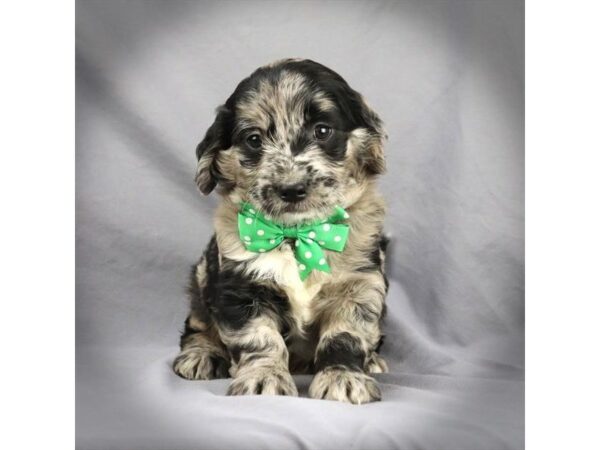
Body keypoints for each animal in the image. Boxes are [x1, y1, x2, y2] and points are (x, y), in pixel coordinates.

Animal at [173, 58, 390, 402]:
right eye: (253, 139)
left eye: (322, 130)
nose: (291, 188)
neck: (297, 237)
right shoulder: (240, 288)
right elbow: (260, 338)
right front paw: (263, 379)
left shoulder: (360, 285)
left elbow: (345, 336)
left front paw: (344, 377)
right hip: (202, 276)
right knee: (197, 323)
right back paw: (201, 355)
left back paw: (373, 362)